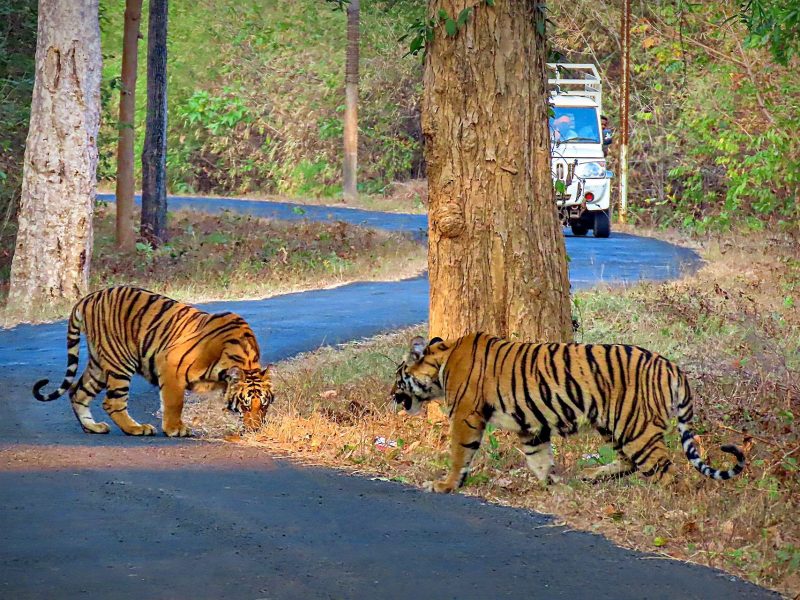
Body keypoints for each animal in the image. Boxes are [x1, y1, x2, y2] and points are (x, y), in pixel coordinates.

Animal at [33, 286, 274, 437]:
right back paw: (136, 429)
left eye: (263, 405)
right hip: (120, 362)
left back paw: (94, 428)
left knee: (78, 391)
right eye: (245, 404)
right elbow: (174, 402)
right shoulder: (170, 363)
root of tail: (87, 298)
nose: (255, 430)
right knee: (112, 402)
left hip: (99, 365)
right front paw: (175, 429)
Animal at [392, 332, 745, 493]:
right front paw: (554, 486)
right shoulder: (531, 426)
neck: (443, 360)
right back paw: (592, 475)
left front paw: (445, 485)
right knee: (630, 461)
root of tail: (672, 366)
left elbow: (458, 454)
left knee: (662, 467)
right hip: (613, 423)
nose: (392, 397)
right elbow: (539, 459)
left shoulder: (466, 416)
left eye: (398, 377)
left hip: (635, 426)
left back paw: (662, 498)